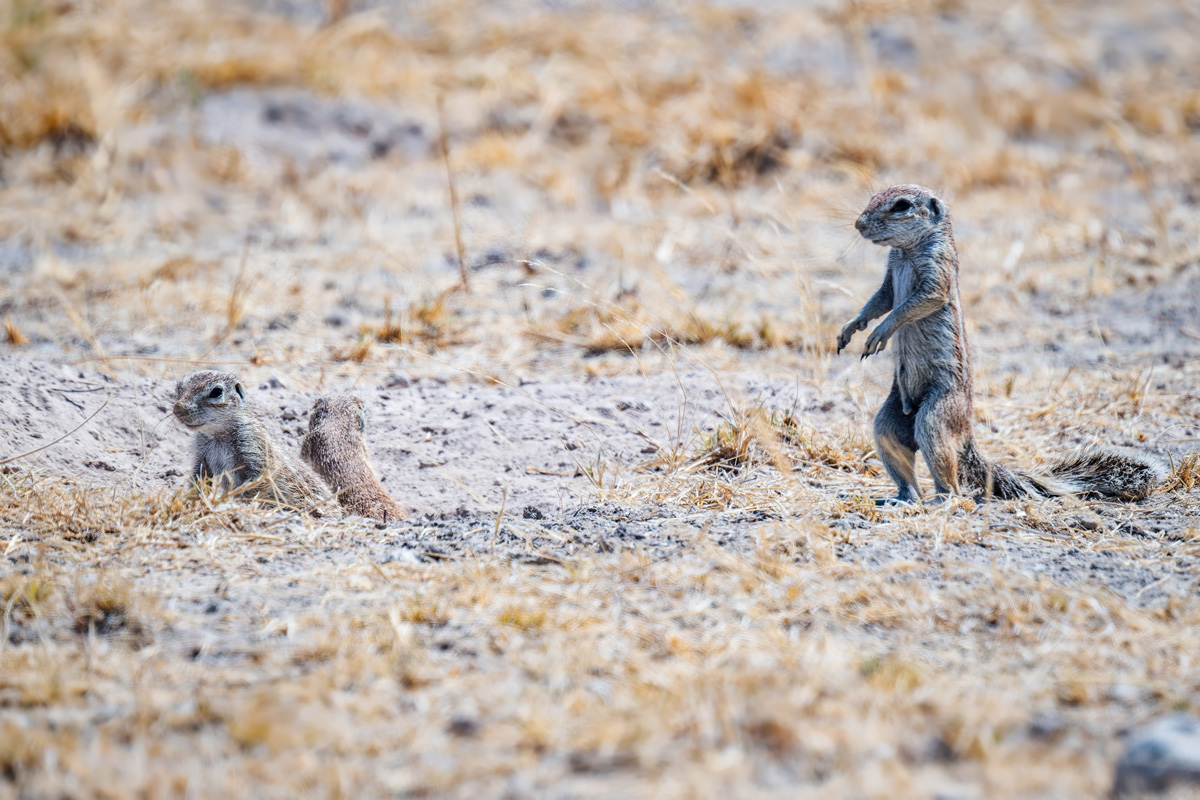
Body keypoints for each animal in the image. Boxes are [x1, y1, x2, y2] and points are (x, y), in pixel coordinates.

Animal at [172, 370, 328, 511]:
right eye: (178, 387)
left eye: (217, 392)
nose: (178, 408)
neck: (217, 435)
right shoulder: (201, 454)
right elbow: (199, 478)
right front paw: (191, 502)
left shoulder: (253, 449)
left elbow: (256, 485)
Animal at [837, 184, 1165, 503]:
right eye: (872, 196)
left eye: (901, 205)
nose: (858, 224)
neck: (906, 252)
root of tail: (965, 436)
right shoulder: (890, 277)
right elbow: (880, 300)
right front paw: (850, 328)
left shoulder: (937, 271)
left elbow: (913, 303)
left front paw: (880, 332)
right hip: (891, 419)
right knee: (898, 451)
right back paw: (900, 498)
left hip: (937, 414)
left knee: (947, 472)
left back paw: (943, 500)